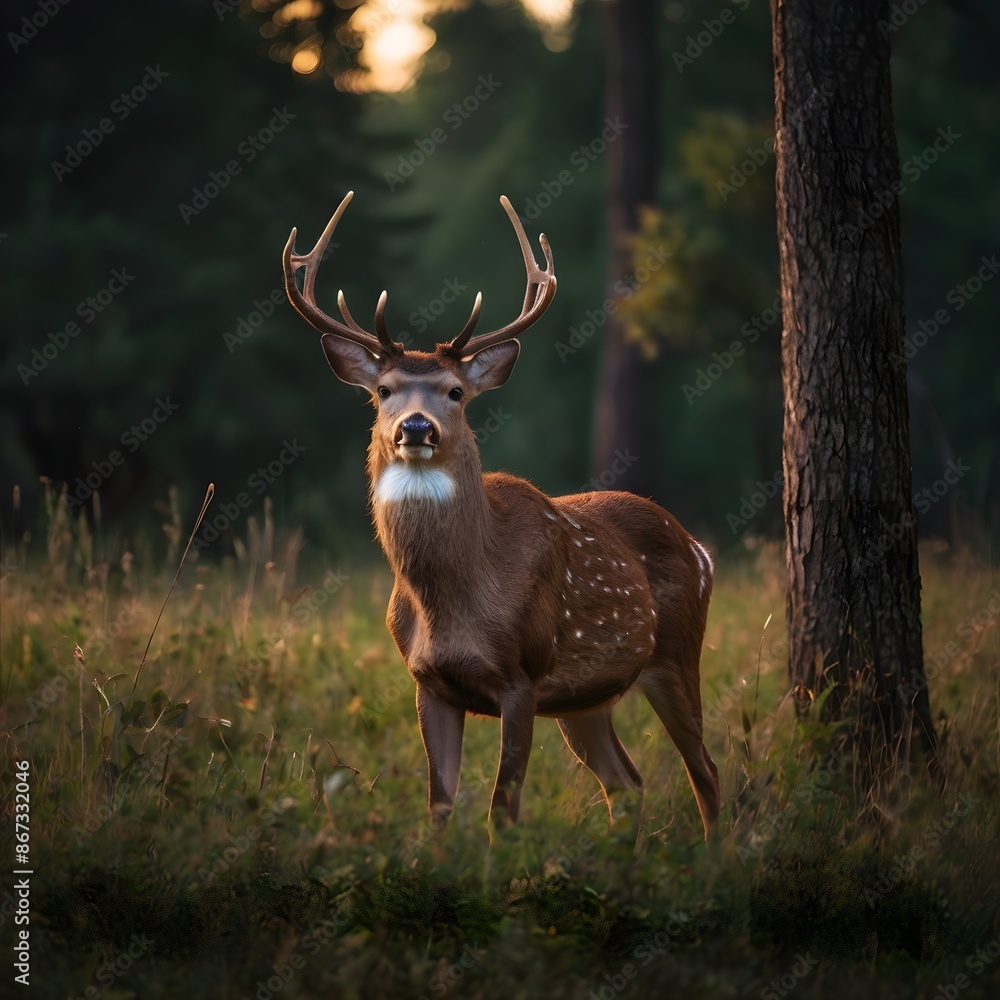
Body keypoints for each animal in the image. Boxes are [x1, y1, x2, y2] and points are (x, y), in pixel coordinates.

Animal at [282, 192, 720, 840]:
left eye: (456, 392)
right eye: (383, 391)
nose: (416, 427)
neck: (454, 602)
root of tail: (699, 548)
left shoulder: (522, 675)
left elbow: (502, 809)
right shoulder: (428, 682)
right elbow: (439, 804)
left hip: (675, 651)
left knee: (705, 771)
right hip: (584, 697)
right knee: (628, 780)